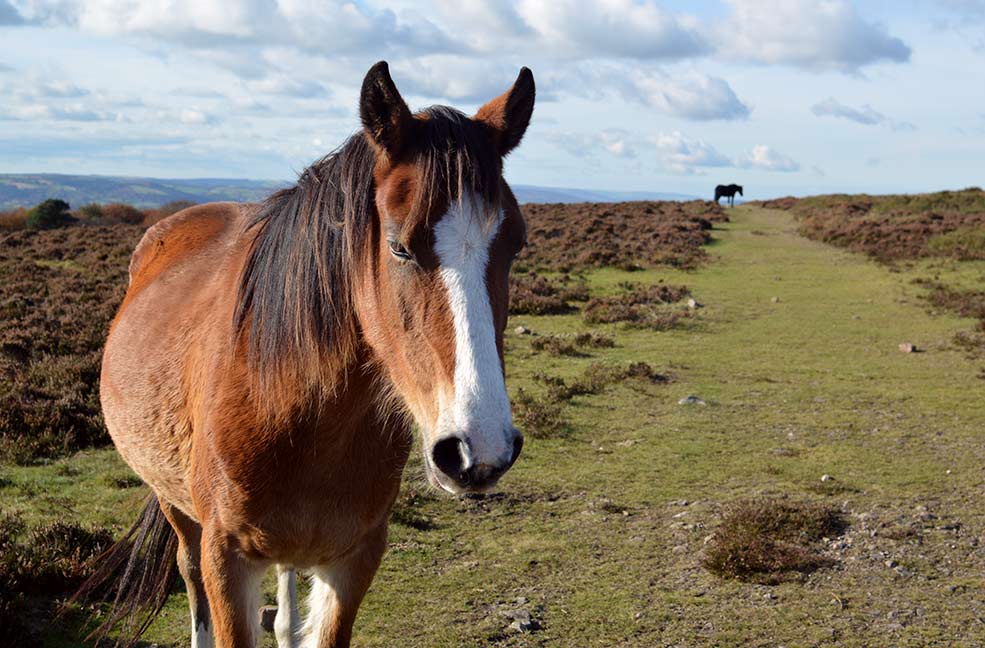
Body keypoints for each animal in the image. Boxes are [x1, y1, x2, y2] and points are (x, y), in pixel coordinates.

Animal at [88, 62, 536, 648]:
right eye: (398, 246)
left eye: (515, 244)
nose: (479, 452)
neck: (293, 413)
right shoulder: (226, 561)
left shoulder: (353, 559)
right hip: (174, 507)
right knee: (189, 577)